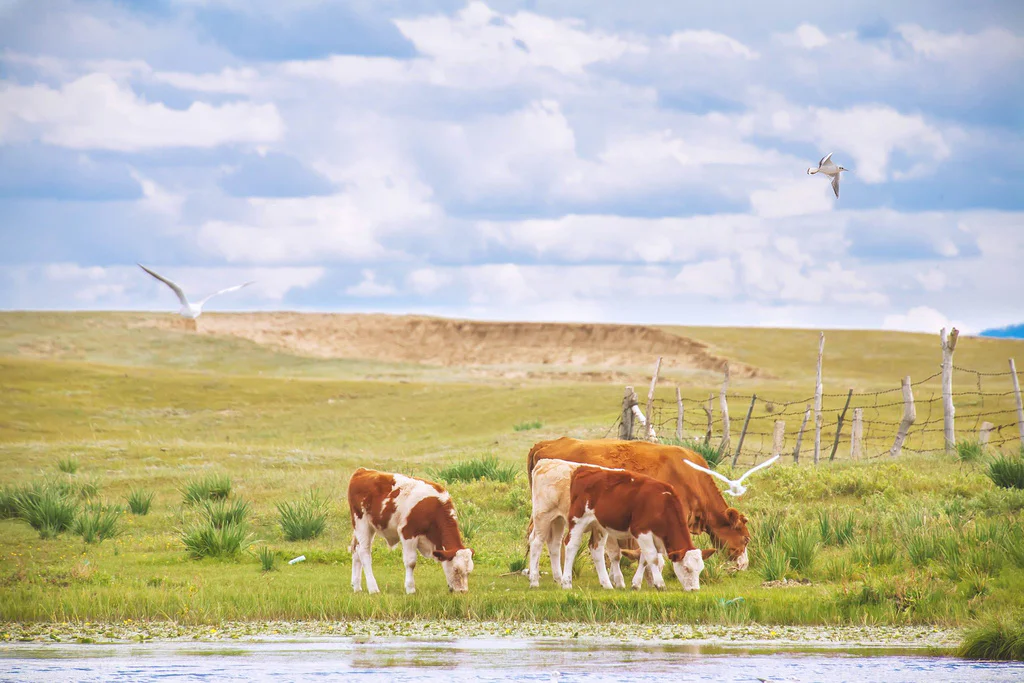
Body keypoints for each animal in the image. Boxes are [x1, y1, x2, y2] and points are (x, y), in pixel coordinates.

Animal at [561, 464, 712, 593]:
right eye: (686, 568)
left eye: (700, 569)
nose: (695, 589)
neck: (661, 504)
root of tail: (583, 469)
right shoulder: (641, 531)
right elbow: (652, 557)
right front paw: (660, 584)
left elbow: (644, 559)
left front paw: (636, 584)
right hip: (577, 520)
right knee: (571, 545)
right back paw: (566, 583)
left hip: (599, 526)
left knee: (596, 549)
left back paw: (607, 584)